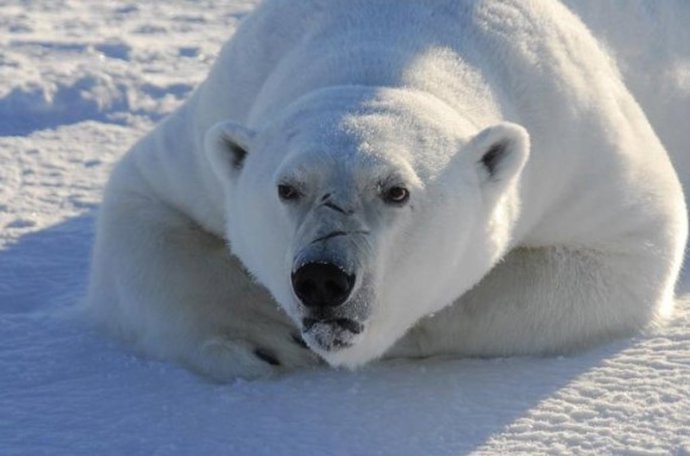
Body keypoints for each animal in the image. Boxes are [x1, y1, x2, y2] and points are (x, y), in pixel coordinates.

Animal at [86, 0, 687, 381]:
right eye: (286, 188)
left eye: (396, 191)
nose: (322, 278)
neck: (389, 42)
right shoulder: (223, 109)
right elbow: (144, 198)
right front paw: (261, 339)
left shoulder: (575, 140)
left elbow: (630, 246)